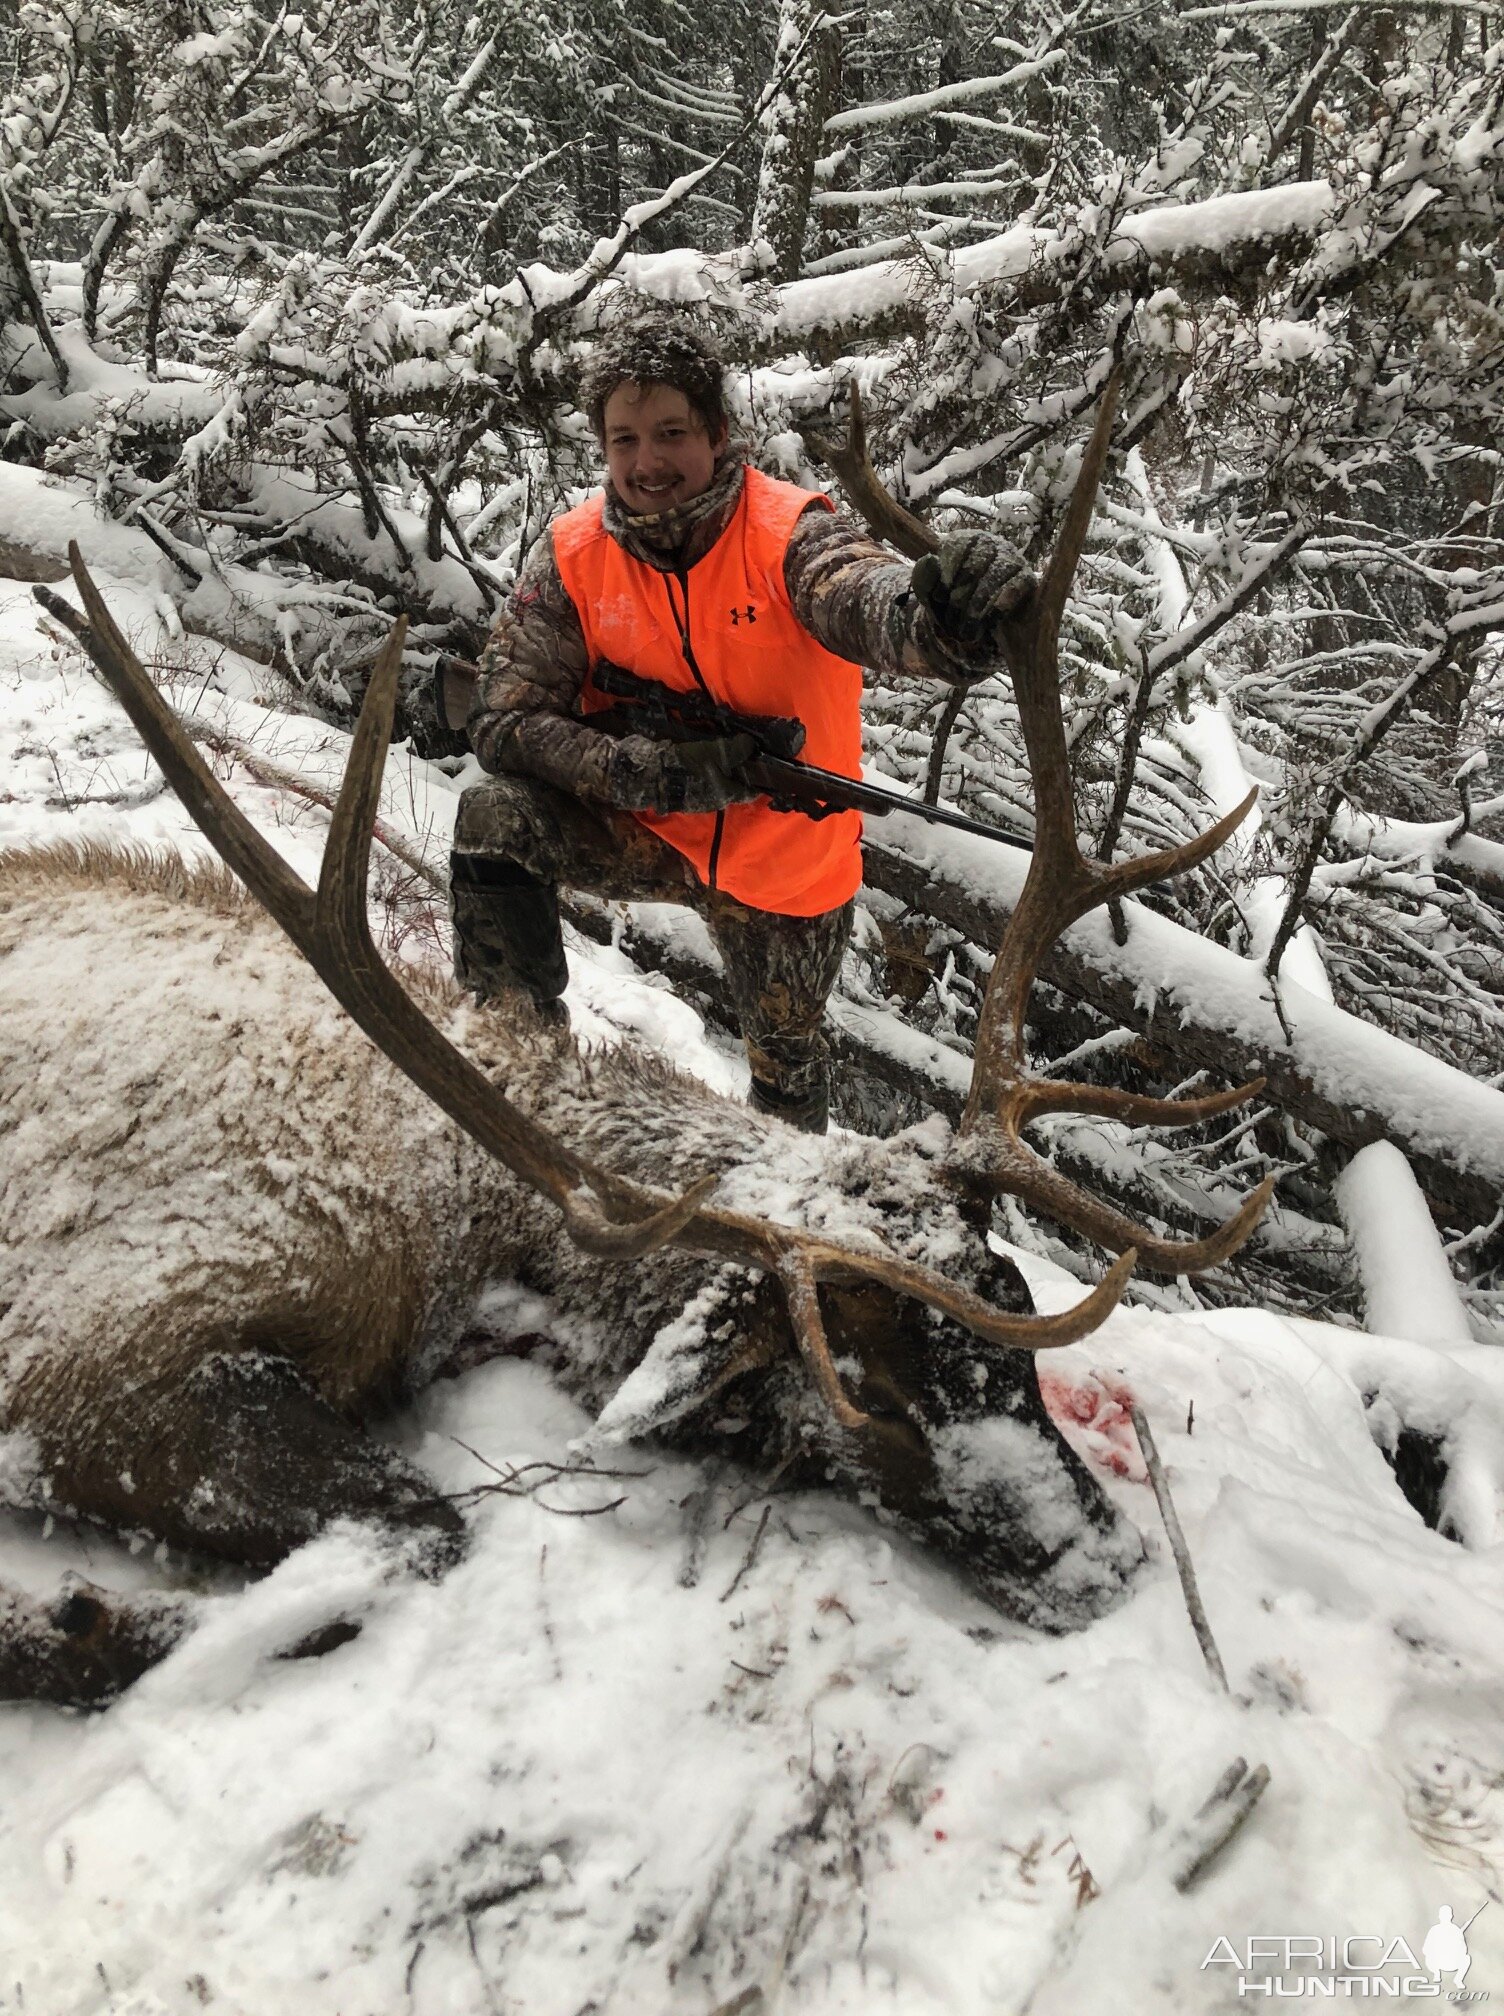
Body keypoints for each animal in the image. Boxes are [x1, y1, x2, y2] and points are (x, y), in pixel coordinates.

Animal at [0, 381, 1266, 1701]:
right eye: (866, 1389)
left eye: (1010, 1324)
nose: (1100, 1565)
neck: (455, 1218)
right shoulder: (96, 1349)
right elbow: (419, 1530)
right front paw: (71, 1621)